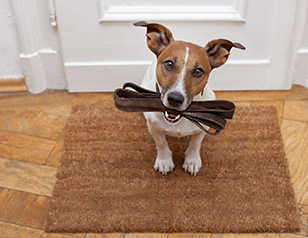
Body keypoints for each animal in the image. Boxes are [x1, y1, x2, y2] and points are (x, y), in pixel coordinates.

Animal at [135, 21, 245, 176]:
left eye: (198, 71)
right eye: (169, 64)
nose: (175, 99)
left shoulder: (203, 128)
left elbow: (195, 144)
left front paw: (192, 161)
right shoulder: (153, 127)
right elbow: (161, 143)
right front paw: (164, 161)